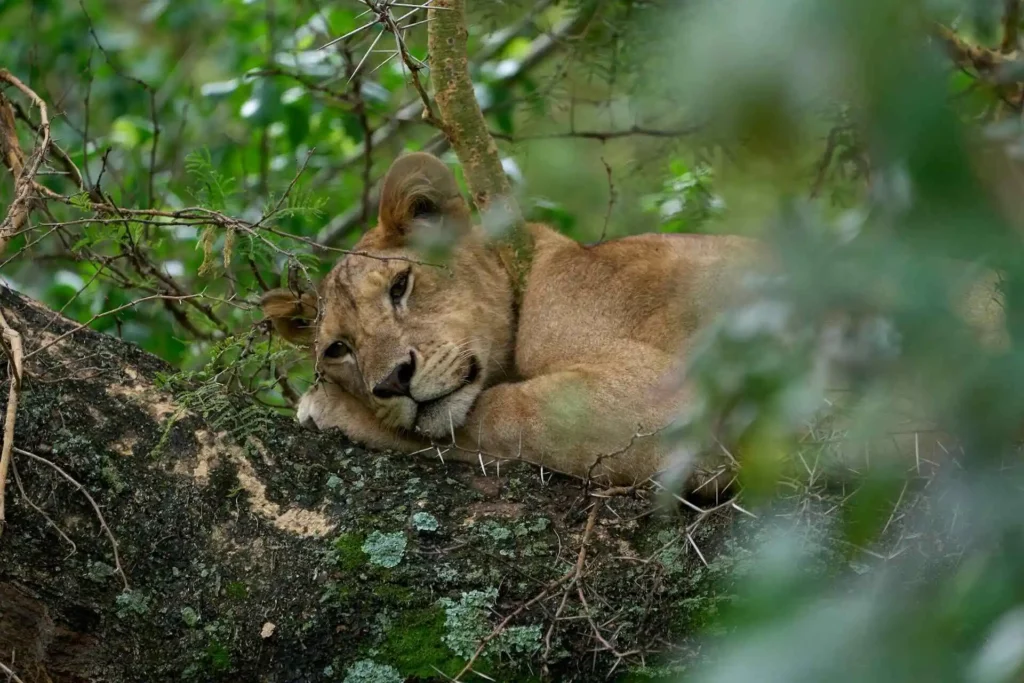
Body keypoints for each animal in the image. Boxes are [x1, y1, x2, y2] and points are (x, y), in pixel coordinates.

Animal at [261, 152, 1008, 490]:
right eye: (338, 347)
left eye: (402, 285)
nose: (391, 381)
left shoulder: (663, 399)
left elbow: (497, 417)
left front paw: (328, 409)